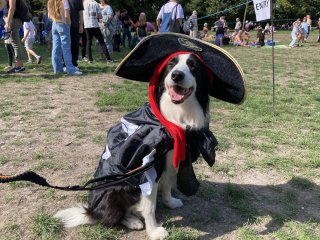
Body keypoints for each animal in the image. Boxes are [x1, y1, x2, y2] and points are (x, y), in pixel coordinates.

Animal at [55, 53, 212, 240]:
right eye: (170, 65)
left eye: (193, 66)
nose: (176, 75)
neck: (175, 115)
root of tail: (92, 211)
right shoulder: (149, 167)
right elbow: (150, 206)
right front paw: (154, 231)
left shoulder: (169, 159)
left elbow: (167, 184)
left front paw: (169, 202)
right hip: (116, 188)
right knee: (112, 216)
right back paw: (132, 221)